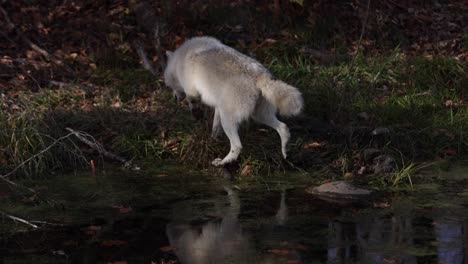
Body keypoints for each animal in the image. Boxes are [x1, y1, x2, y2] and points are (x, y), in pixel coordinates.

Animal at [165, 36, 304, 166]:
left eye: (169, 86)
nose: (174, 98)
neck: (180, 58)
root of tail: (260, 76)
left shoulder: (192, 92)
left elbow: (192, 102)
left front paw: (196, 115)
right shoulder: (218, 108)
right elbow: (215, 127)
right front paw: (213, 139)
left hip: (229, 121)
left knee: (237, 146)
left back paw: (222, 162)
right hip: (259, 116)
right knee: (283, 128)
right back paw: (285, 153)